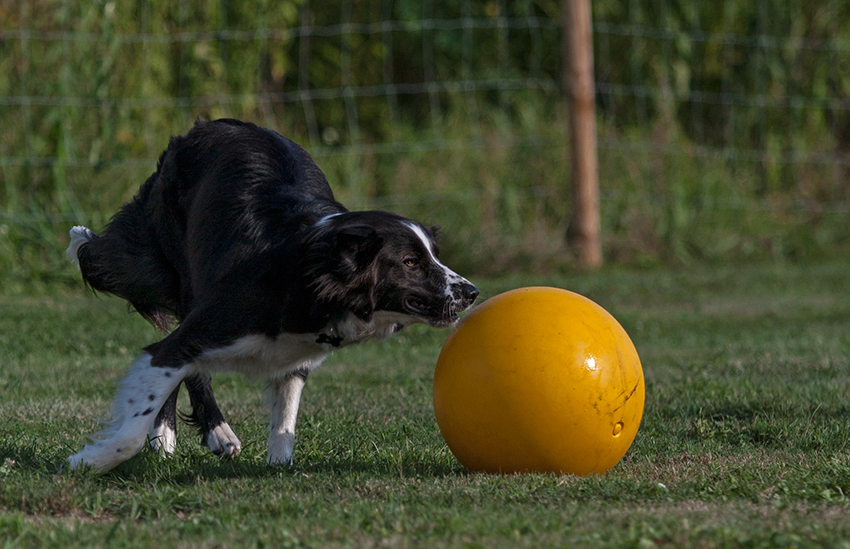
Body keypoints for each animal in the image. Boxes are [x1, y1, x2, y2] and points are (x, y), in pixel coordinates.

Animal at [66, 119, 476, 470]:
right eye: (410, 262)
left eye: (434, 255)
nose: (472, 292)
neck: (306, 274)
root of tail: (204, 125)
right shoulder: (208, 327)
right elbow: (136, 418)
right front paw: (88, 462)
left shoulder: (294, 358)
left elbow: (285, 422)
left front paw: (279, 466)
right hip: (187, 276)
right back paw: (207, 433)